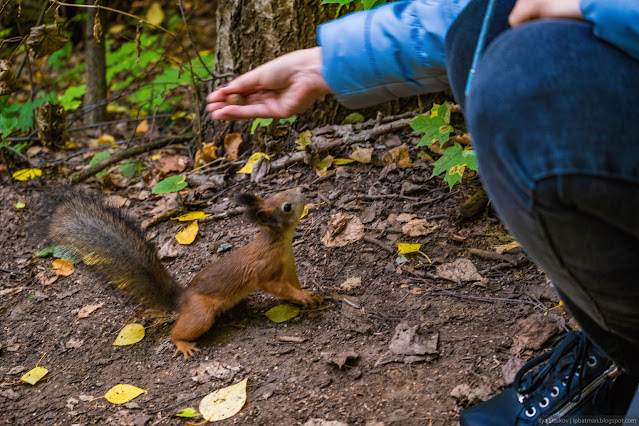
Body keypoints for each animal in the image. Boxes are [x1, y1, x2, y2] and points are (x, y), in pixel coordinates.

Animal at [49, 188, 320, 358]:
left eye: (281, 196)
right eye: (286, 206)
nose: (301, 190)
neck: (277, 241)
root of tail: (183, 300)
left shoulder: (289, 266)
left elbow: (293, 282)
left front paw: (309, 295)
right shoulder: (264, 270)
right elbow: (273, 286)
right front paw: (303, 297)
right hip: (201, 314)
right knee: (178, 331)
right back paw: (182, 343)